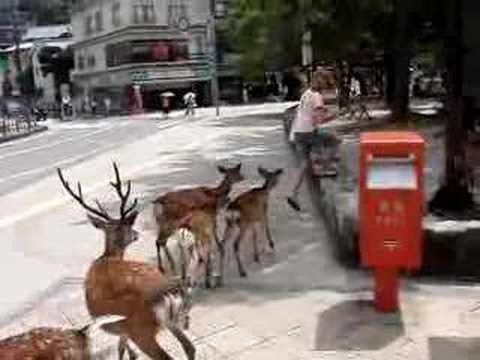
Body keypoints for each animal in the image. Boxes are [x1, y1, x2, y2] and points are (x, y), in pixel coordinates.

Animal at [57, 163, 195, 360]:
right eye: (129, 227)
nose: (136, 234)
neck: (108, 257)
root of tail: (169, 291)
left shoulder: (120, 327)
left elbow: (124, 350)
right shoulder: (122, 329)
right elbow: (125, 349)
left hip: (142, 330)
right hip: (170, 321)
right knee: (190, 348)